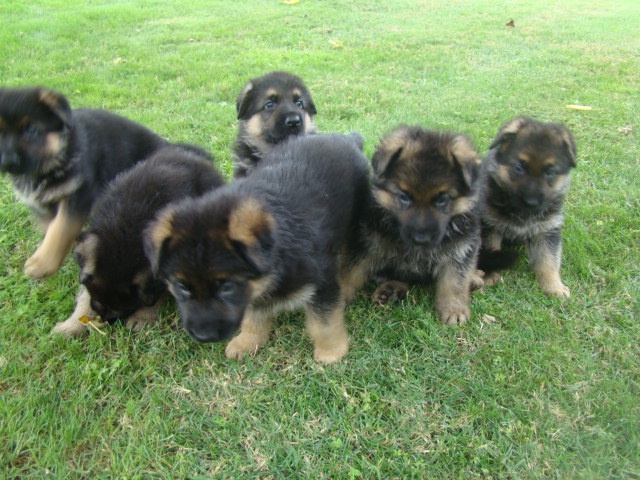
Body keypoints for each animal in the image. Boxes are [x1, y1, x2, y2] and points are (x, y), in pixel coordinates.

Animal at [0, 86, 169, 280]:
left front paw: (42, 263)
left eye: (31, 130)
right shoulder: (43, 205)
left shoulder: (79, 194)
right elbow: (50, 227)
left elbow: (59, 229)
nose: (7, 162)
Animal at [53, 143, 228, 338]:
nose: (108, 319)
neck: (126, 230)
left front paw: (142, 317)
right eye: (100, 301)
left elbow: (160, 293)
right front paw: (72, 325)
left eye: (126, 305)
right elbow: (84, 294)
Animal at [142, 133, 368, 362]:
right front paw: (248, 341)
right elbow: (253, 315)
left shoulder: (323, 283)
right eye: (181, 286)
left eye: (227, 287)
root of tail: (345, 137)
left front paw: (331, 352)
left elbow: (325, 323)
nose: (203, 337)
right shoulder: (252, 291)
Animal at [348, 124, 482, 326]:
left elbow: (455, 280)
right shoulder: (368, 244)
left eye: (442, 199)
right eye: (404, 196)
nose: (421, 238)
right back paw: (390, 290)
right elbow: (352, 272)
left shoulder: (461, 247)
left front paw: (454, 309)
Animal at [480, 116, 576, 298]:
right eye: (518, 167)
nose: (531, 202)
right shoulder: (490, 226)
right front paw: (489, 276)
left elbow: (549, 260)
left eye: (550, 172)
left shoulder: (547, 230)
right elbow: (492, 249)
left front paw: (554, 286)